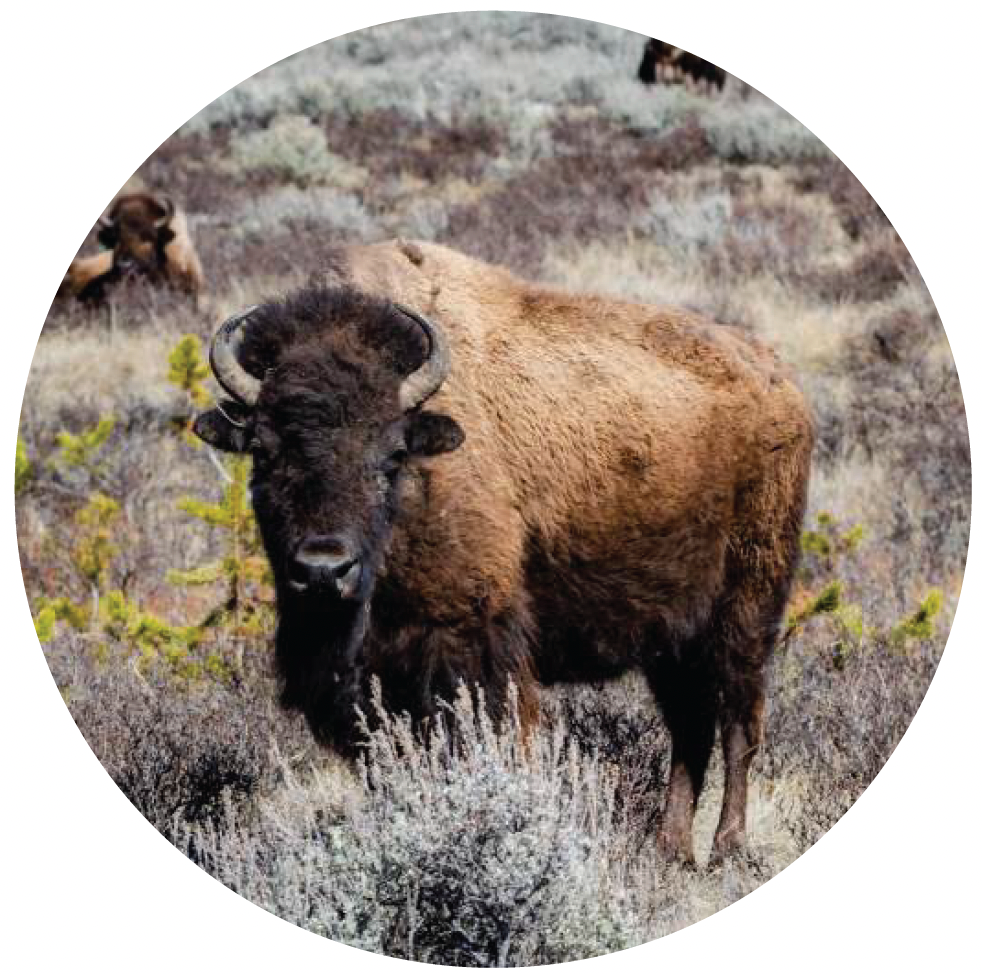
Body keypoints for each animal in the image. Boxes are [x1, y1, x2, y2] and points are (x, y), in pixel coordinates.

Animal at [193, 240, 813, 863]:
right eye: (264, 452)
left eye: (392, 456)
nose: (323, 570)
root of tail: (781, 382)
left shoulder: (469, 643)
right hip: (671, 636)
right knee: (690, 728)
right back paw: (669, 848)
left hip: (746, 609)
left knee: (738, 724)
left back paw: (726, 848)